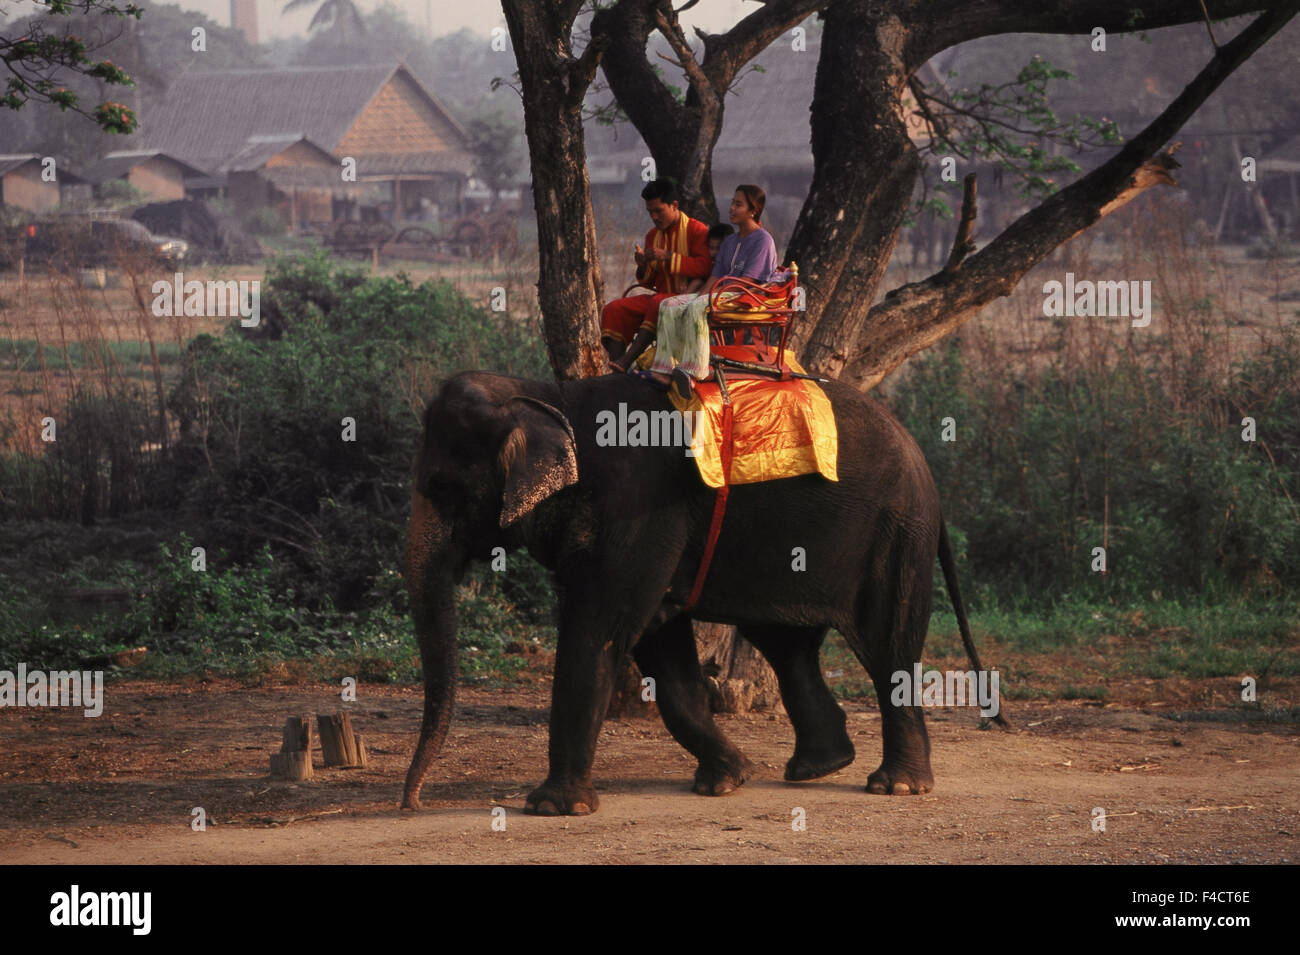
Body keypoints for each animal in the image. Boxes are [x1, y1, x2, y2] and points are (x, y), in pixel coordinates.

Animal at [400, 369, 998, 815]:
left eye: (442, 489)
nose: (412, 803)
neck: (547, 396)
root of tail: (924, 463)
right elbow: (658, 644)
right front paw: (726, 781)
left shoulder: (639, 514)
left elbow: (600, 631)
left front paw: (551, 808)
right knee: (787, 645)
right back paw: (817, 767)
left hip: (896, 534)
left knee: (886, 646)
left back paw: (895, 786)